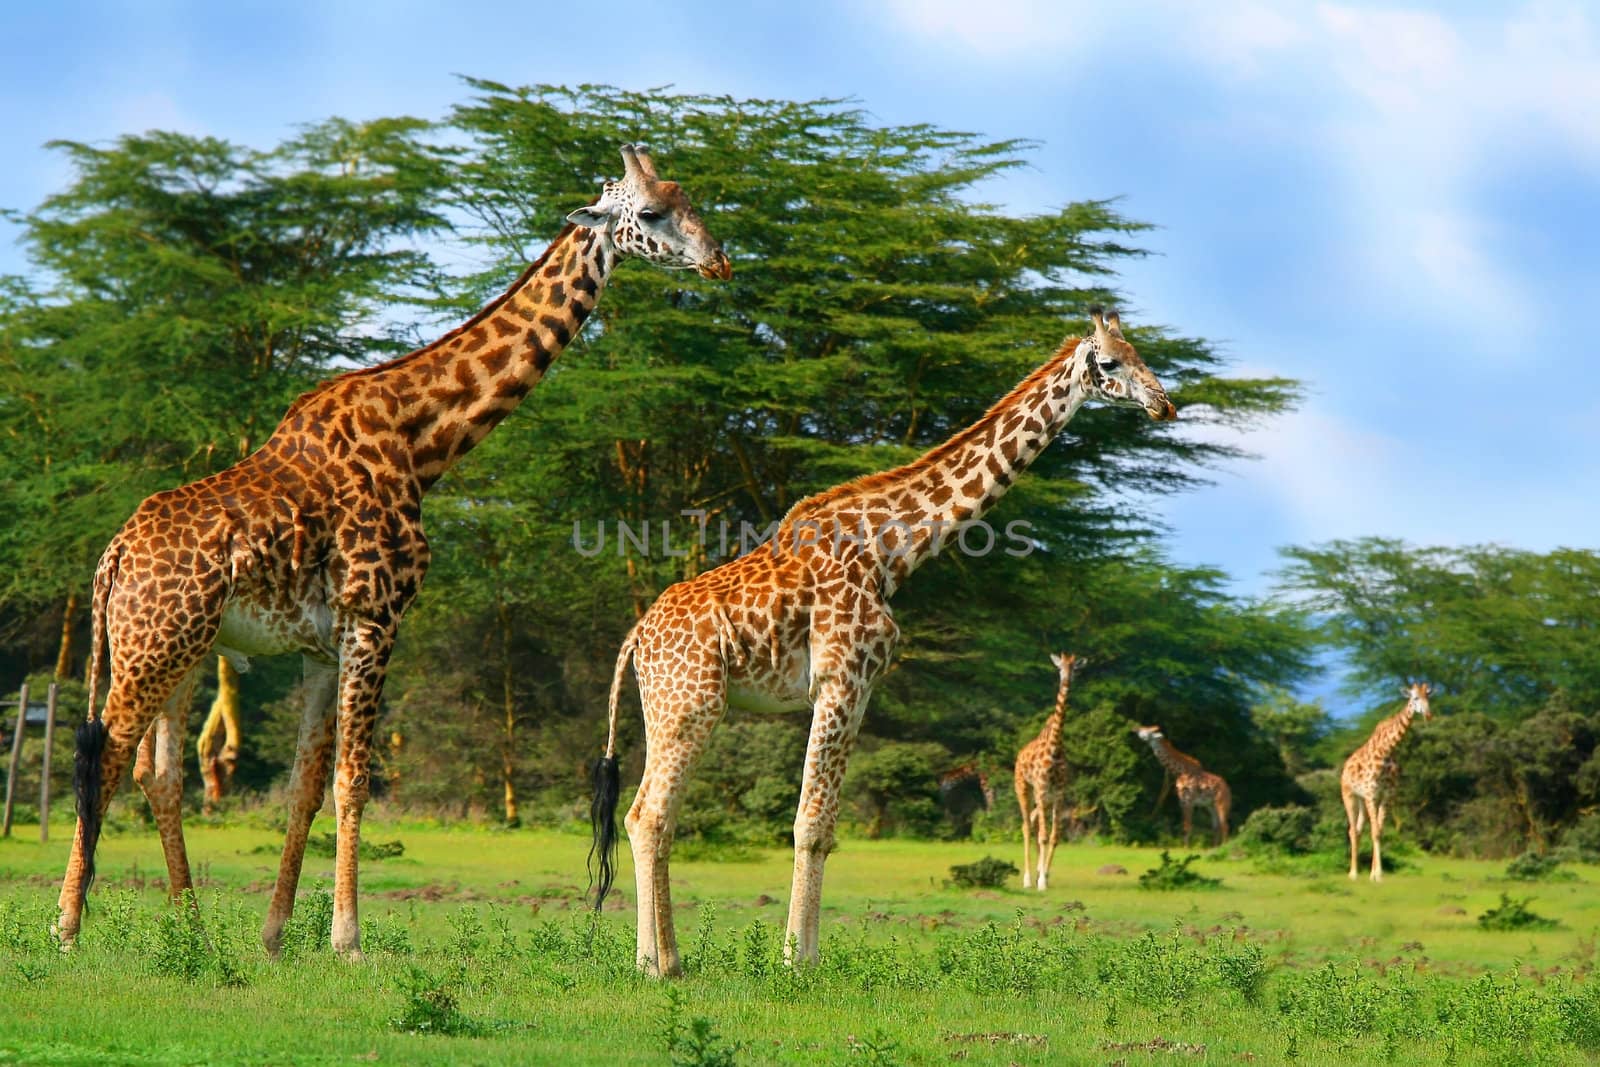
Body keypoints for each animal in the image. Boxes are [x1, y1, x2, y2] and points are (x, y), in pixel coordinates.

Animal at [56, 143, 732, 959]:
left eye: (689, 198)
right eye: (654, 212)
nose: (720, 260)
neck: (423, 439)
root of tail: (112, 556)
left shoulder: (321, 645)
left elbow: (306, 785)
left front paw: (276, 934)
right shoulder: (376, 616)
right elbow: (353, 778)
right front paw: (346, 937)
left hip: (180, 647)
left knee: (156, 773)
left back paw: (193, 931)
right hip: (155, 642)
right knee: (105, 754)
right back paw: (68, 925)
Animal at [1017, 652, 1081, 895]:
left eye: (1076, 668)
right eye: (1059, 667)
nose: (1066, 680)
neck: (1054, 749)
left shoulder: (1059, 794)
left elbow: (1054, 837)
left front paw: (1045, 875)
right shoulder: (1042, 790)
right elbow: (1043, 836)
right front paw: (1041, 883)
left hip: (1042, 798)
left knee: (1033, 822)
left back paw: (1037, 872)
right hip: (1024, 788)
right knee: (1027, 826)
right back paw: (1027, 879)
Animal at [1337, 684, 1440, 883]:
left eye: (1428, 697)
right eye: (1414, 698)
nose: (1429, 715)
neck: (1386, 751)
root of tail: (1345, 767)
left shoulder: (1386, 797)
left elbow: (1379, 831)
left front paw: (1374, 874)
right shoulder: (1371, 794)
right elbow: (1375, 832)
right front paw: (1378, 874)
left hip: (1362, 800)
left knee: (1359, 829)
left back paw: (1359, 872)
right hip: (1349, 795)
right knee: (1352, 830)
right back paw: (1352, 873)